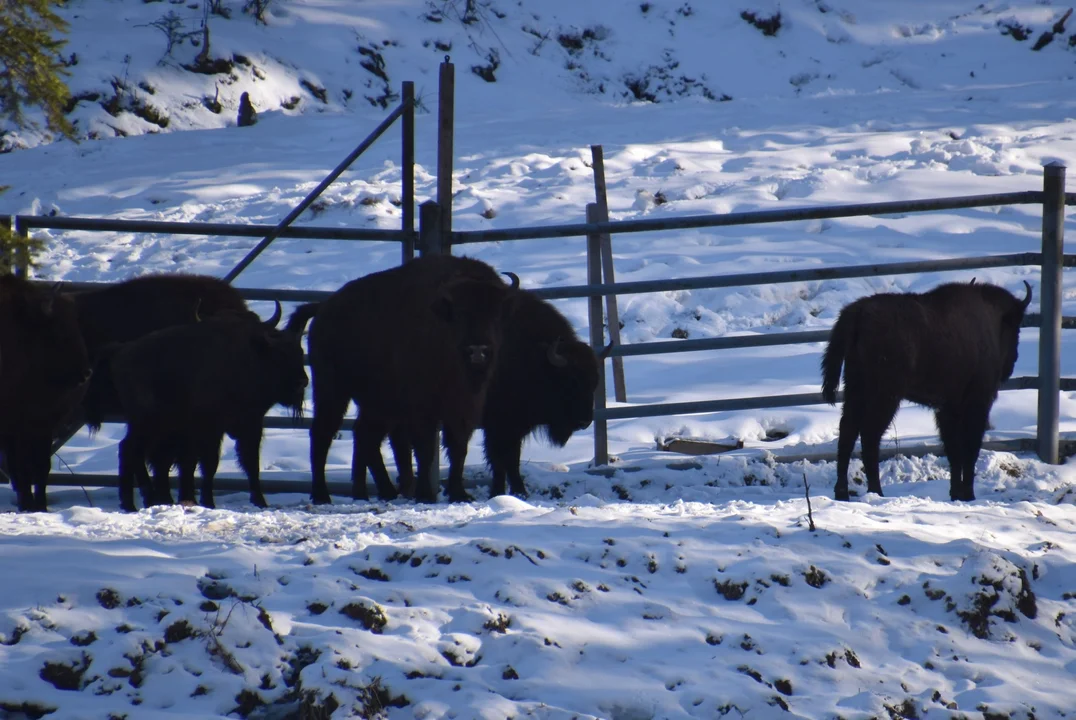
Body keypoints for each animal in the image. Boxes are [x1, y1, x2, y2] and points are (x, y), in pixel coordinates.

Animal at [0, 275, 92, 510]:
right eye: (58, 330)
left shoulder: (41, 425)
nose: (86, 372)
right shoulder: (16, 428)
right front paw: (29, 504)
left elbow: (39, 468)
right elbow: (21, 470)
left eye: (75, 324)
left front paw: (37, 505)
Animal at [84, 312, 307, 507]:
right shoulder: (211, 429)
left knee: (137, 454)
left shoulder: (250, 426)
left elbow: (251, 464)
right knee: (131, 451)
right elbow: (209, 464)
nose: (302, 382)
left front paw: (260, 501)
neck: (249, 358)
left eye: (301, 352)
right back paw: (138, 502)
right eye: (280, 355)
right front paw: (208, 502)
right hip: (147, 425)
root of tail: (121, 350)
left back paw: (146, 501)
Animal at [288, 252, 514, 505]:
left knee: (365, 436)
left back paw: (374, 492)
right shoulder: (421, 410)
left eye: (495, 315)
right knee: (323, 433)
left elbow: (458, 448)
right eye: (459, 314)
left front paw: (459, 493)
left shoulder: (464, 407)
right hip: (333, 390)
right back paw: (322, 495)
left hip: (378, 404)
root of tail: (323, 309)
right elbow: (425, 449)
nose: (478, 350)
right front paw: (425, 494)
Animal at [355, 286, 606, 499]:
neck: (537, 359)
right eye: (571, 381)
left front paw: (516, 491)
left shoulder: (513, 427)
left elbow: (510, 459)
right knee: (369, 439)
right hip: (383, 411)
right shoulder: (501, 425)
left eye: (594, 382)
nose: (584, 421)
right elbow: (501, 459)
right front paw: (503, 492)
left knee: (374, 441)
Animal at [822, 277, 1032, 503]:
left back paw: (842, 492)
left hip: (856, 390)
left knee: (848, 431)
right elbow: (969, 449)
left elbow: (954, 451)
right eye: (1016, 327)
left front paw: (956, 494)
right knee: (870, 435)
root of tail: (858, 311)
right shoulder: (976, 404)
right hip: (884, 396)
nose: (1011, 363)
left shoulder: (948, 408)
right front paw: (968, 494)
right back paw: (876, 491)